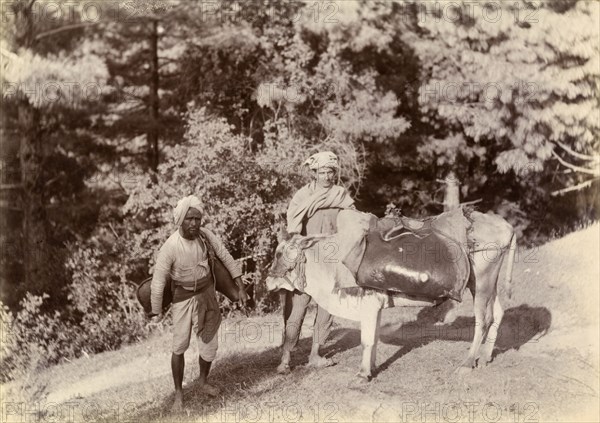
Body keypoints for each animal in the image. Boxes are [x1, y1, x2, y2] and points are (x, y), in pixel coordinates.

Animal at [268, 211, 516, 380]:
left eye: (279, 253)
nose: (268, 279)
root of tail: (504, 224)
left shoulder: (367, 303)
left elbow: (367, 340)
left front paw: (363, 373)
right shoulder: (376, 305)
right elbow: (375, 338)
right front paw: (372, 368)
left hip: (482, 282)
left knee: (483, 320)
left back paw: (467, 362)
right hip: (485, 284)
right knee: (498, 313)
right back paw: (484, 357)